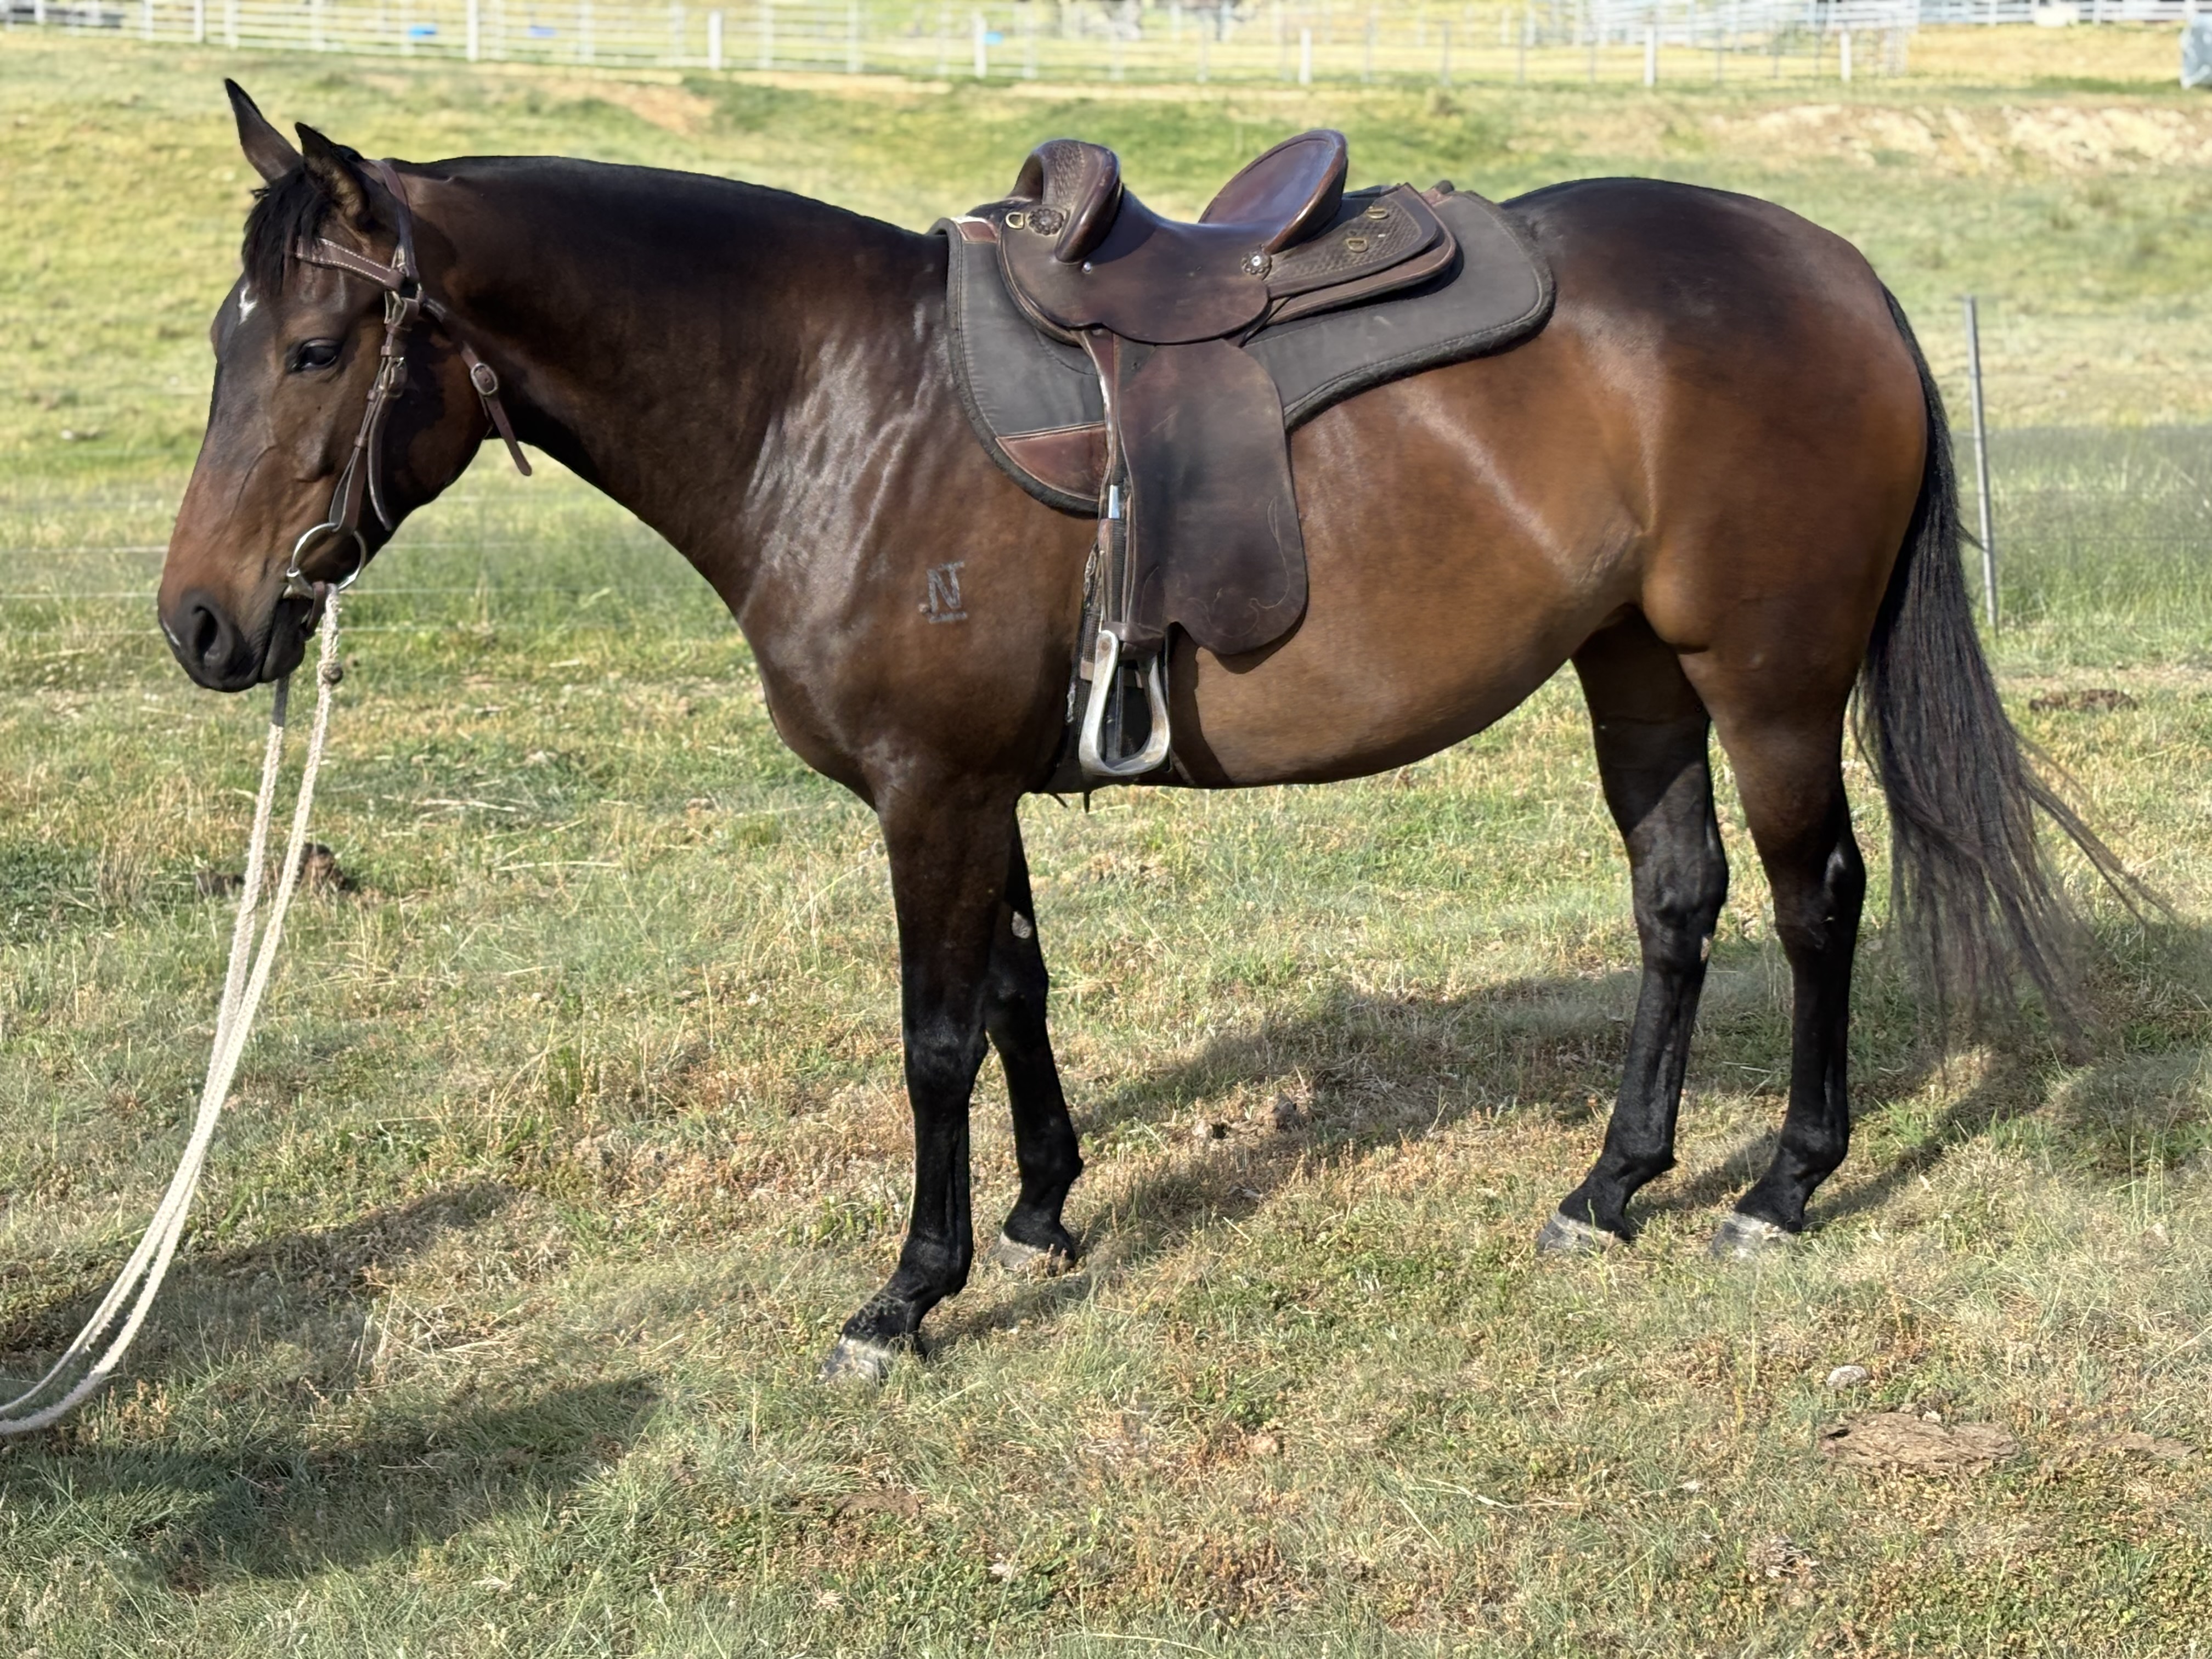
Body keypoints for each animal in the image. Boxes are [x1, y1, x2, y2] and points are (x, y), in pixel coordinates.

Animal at [159, 84, 2118, 1383]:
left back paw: (1782, 1186)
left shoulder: (929, 793)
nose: (202, 625)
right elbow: (1022, 988)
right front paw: (1043, 1215)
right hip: (1632, 668)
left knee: (1815, 898)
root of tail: (1837, 270)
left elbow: (936, 1033)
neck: (835, 403)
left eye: (319, 349)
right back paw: (1613, 1183)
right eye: (226, 338)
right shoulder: (981, 786)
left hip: (1765, 680)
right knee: (1678, 900)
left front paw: (914, 1290)